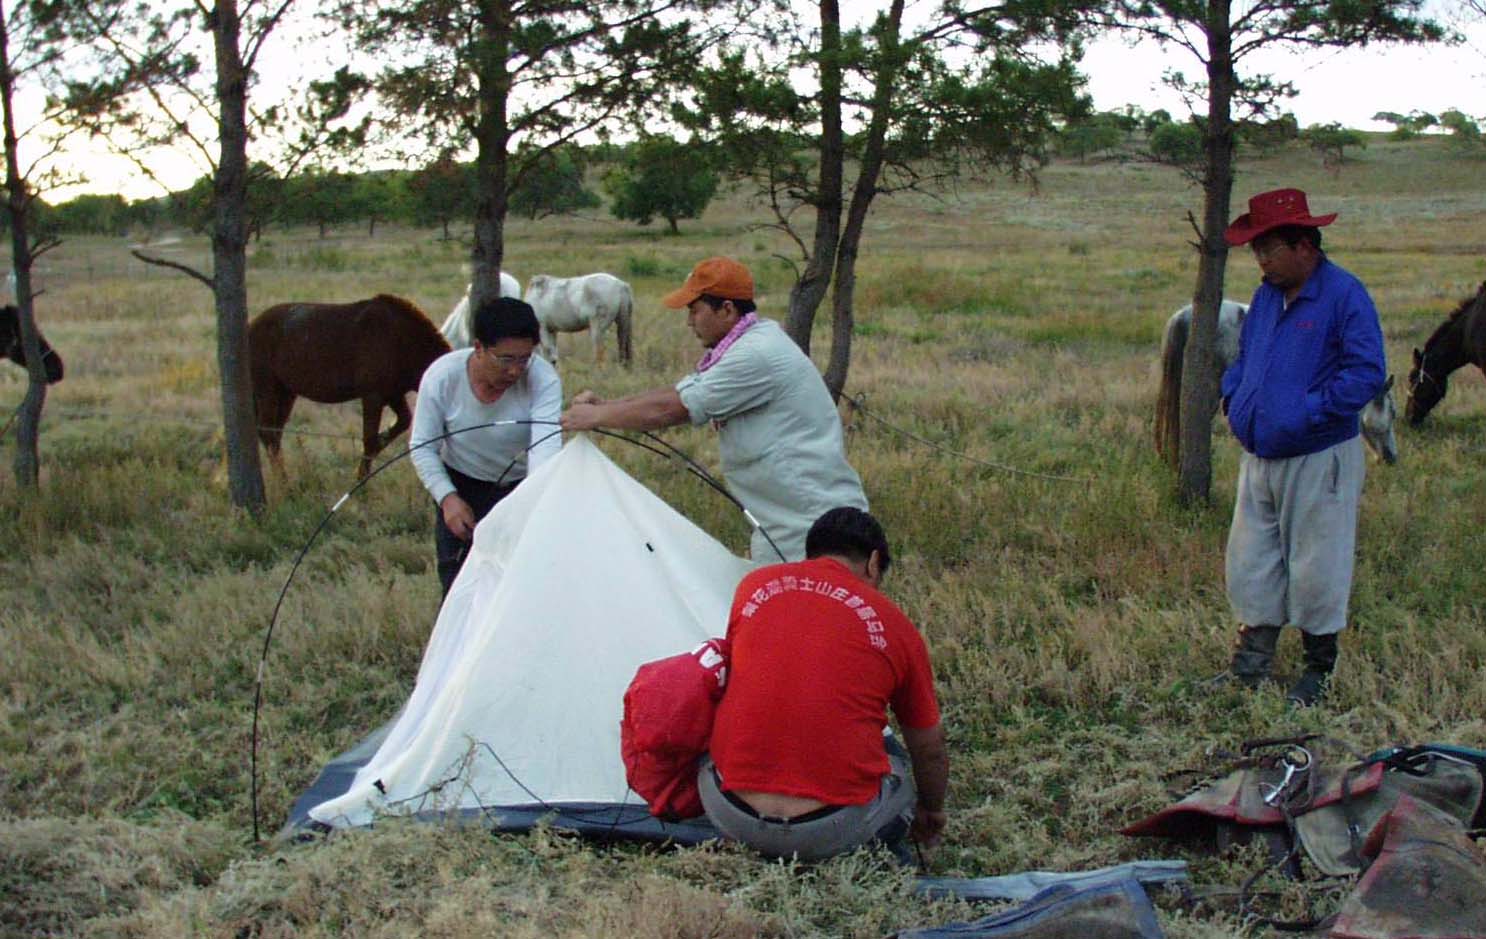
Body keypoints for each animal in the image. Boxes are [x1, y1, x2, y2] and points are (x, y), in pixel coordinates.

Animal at [249, 295, 448, 475]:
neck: (402, 340)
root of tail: (251, 326)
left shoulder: (394, 395)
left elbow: (403, 422)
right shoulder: (373, 396)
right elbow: (369, 440)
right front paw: (361, 483)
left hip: (286, 393)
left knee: (274, 433)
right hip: (267, 388)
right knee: (267, 432)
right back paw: (284, 483)